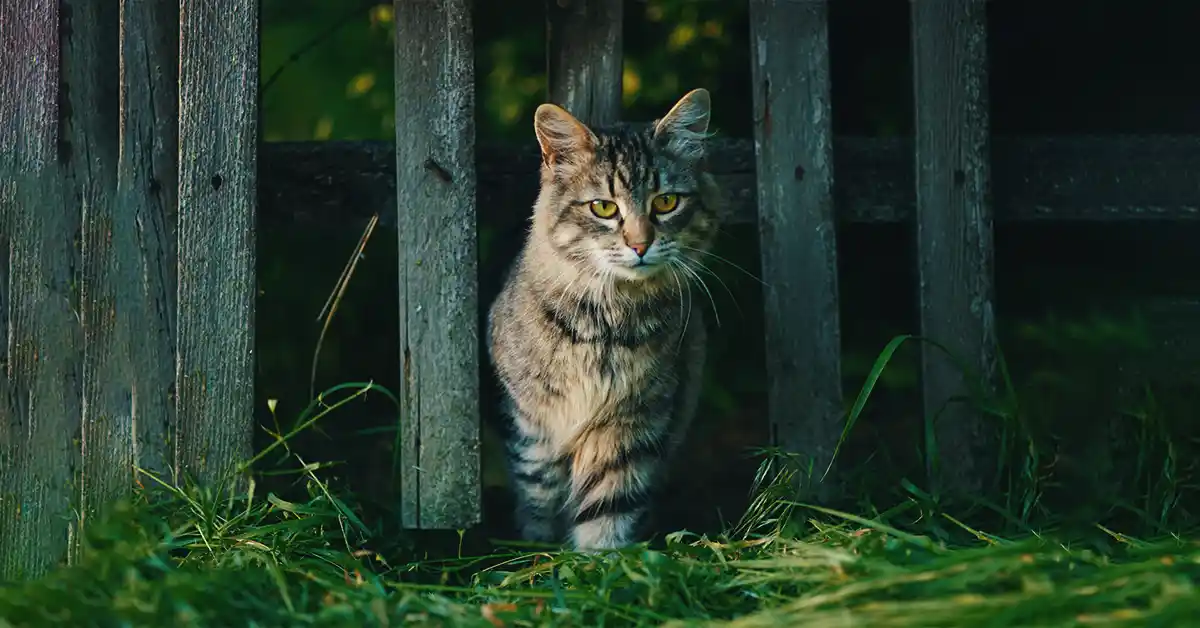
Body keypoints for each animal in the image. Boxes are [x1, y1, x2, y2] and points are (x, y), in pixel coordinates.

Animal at [487, 87, 720, 549]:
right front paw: (541, 556)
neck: (608, 324)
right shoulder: (532, 428)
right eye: (603, 208)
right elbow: (539, 503)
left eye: (666, 202)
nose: (640, 244)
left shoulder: (631, 424)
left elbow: (608, 508)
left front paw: (600, 560)